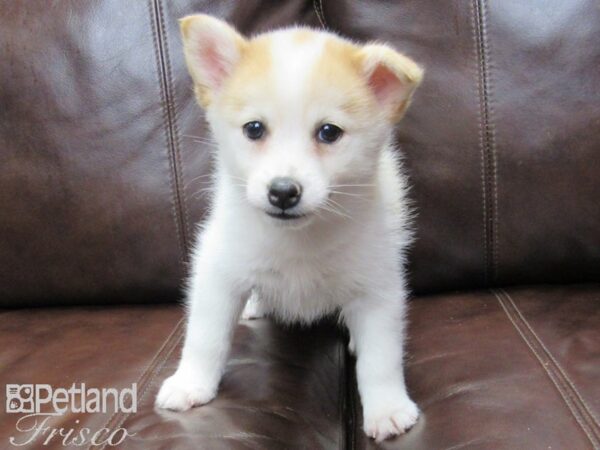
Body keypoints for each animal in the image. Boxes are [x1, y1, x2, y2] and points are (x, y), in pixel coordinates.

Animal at [157, 14, 424, 442]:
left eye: (329, 132)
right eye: (254, 129)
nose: (283, 191)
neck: (299, 240)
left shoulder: (378, 286)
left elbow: (380, 358)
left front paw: (387, 407)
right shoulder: (218, 270)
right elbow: (206, 336)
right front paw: (191, 383)